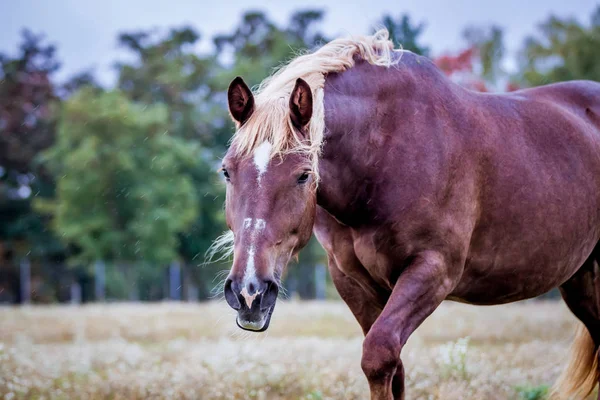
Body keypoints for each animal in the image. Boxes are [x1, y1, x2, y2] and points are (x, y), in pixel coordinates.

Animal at [216, 29, 600, 398]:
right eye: (227, 171)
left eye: (303, 175)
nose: (249, 292)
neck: (384, 155)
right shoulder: (352, 280)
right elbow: (394, 369)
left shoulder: (433, 271)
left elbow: (378, 355)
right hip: (580, 280)